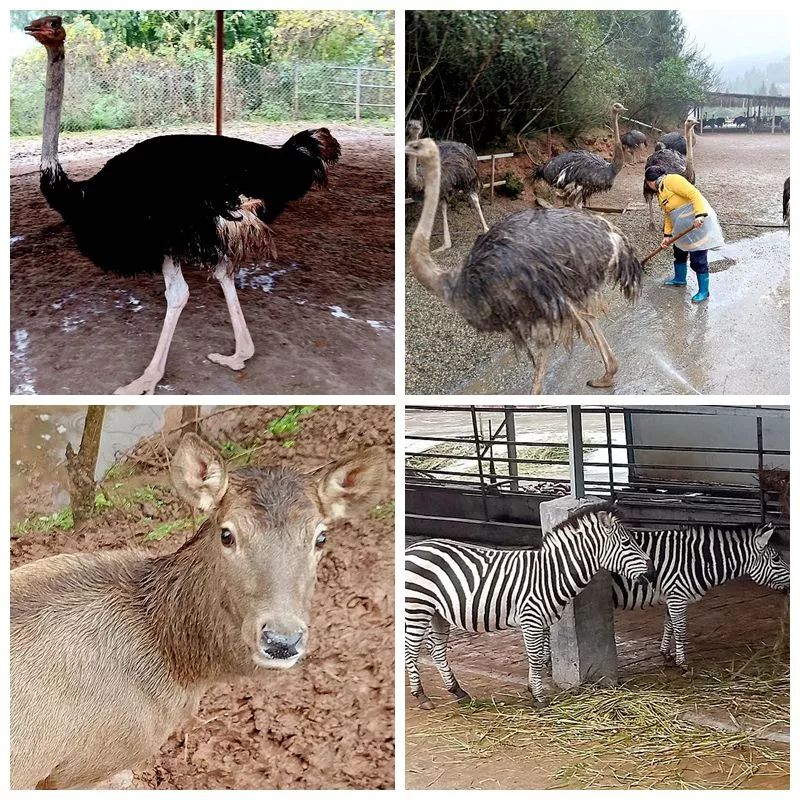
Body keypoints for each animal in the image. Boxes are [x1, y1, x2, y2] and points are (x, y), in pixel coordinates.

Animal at [404, 504, 652, 708]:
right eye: (627, 543)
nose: (651, 571)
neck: (551, 573)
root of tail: (412, 549)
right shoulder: (531, 619)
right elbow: (535, 657)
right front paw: (540, 699)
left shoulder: (542, 621)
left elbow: (540, 657)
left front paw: (534, 690)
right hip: (417, 607)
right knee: (411, 649)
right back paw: (421, 696)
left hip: (438, 612)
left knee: (436, 650)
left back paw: (458, 691)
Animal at [612, 520, 788, 672]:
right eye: (776, 558)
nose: (791, 584)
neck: (696, 561)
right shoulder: (677, 597)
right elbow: (680, 630)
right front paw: (682, 664)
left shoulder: (672, 595)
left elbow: (669, 625)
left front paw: (666, 654)